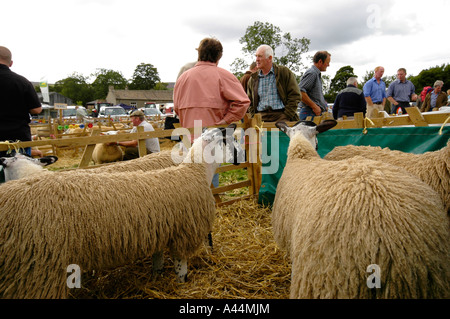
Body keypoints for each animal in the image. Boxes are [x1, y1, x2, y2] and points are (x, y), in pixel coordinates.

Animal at [0, 124, 244, 298]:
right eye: (229, 139)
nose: (241, 158)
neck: (193, 170)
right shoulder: (183, 232)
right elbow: (180, 268)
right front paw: (181, 284)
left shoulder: (159, 227)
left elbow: (158, 260)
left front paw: (156, 276)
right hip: (38, 270)